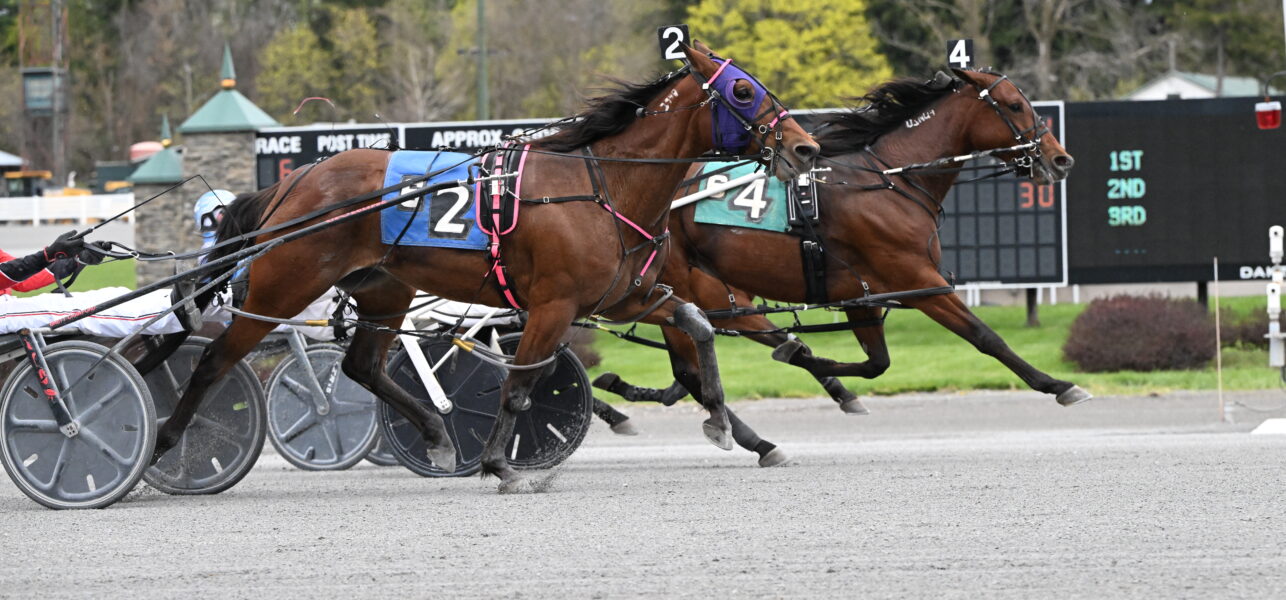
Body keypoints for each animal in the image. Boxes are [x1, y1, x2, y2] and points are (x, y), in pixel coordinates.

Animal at [148, 41, 820, 493]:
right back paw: (166, 446)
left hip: (385, 289)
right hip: (284, 285)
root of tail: (292, 185)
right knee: (216, 358)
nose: (806, 146)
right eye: (743, 92)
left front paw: (723, 422)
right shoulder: (553, 305)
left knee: (363, 366)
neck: (600, 185)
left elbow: (698, 325)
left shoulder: (619, 295)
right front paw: (503, 465)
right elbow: (519, 388)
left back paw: (437, 437)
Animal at [593, 68, 1086, 464]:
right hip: (688, 286)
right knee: (691, 368)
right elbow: (986, 337)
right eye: (1015, 104)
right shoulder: (919, 280)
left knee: (693, 366)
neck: (889, 180)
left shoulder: (862, 294)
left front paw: (812, 363)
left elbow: (876, 363)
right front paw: (1060, 386)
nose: (1061, 159)